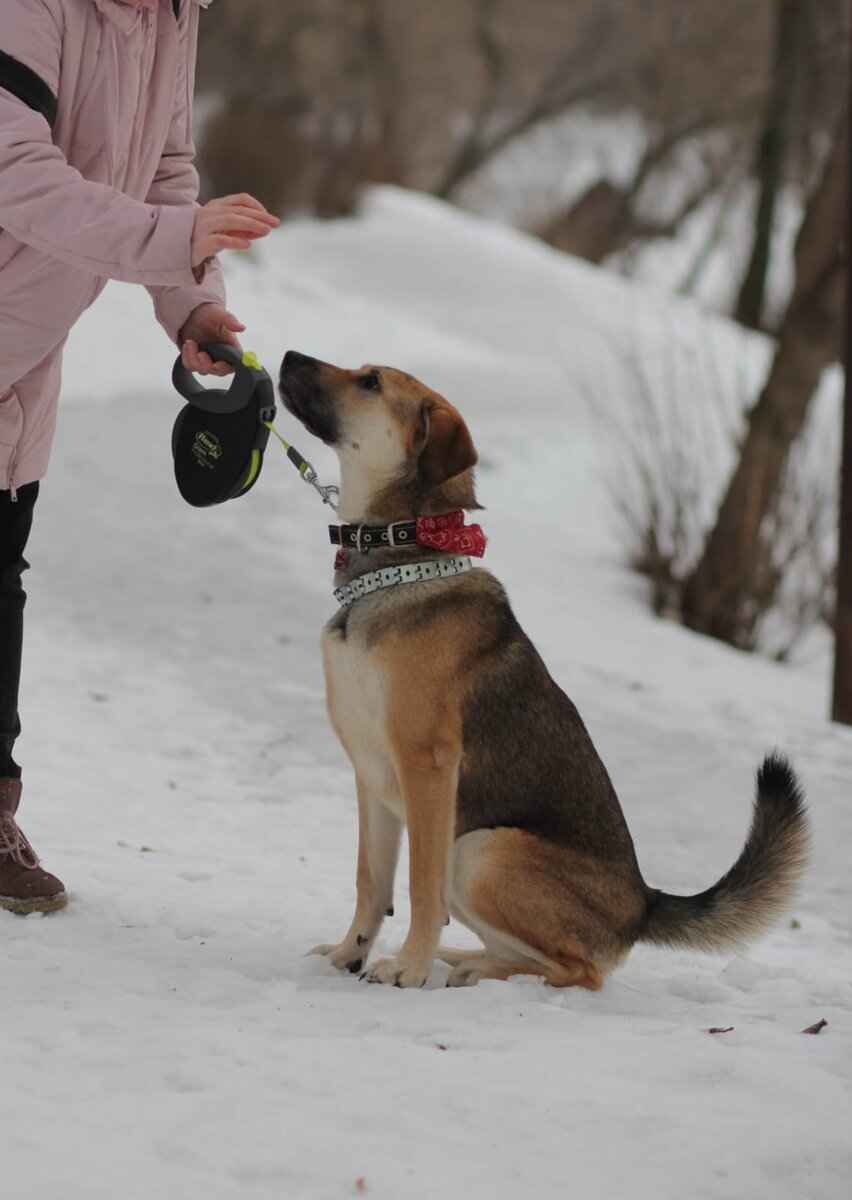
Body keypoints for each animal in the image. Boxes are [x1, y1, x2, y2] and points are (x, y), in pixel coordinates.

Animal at [282, 350, 816, 988]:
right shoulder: (371, 773)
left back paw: (474, 973)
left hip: (479, 849)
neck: (398, 565)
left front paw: (406, 969)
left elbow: (417, 886)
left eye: (370, 382)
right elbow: (371, 880)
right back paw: (464, 959)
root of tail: (643, 903)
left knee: (579, 970)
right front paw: (349, 955)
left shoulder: (427, 765)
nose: (286, 357)